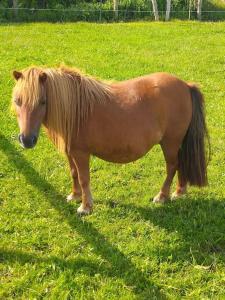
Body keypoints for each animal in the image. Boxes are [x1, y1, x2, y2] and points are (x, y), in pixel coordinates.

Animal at [11, 66, 209, 213]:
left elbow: (84, 178)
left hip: (170, 143)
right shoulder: (71, 152)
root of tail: (186, 85)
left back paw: (162, 196)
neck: (76, 110)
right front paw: (74, 196)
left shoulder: (81, 153)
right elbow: (74, 173)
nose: (26, 140)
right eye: (17, 101)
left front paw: (85, 207)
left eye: (42, 102)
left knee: (172, 167)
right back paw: (179, 191)